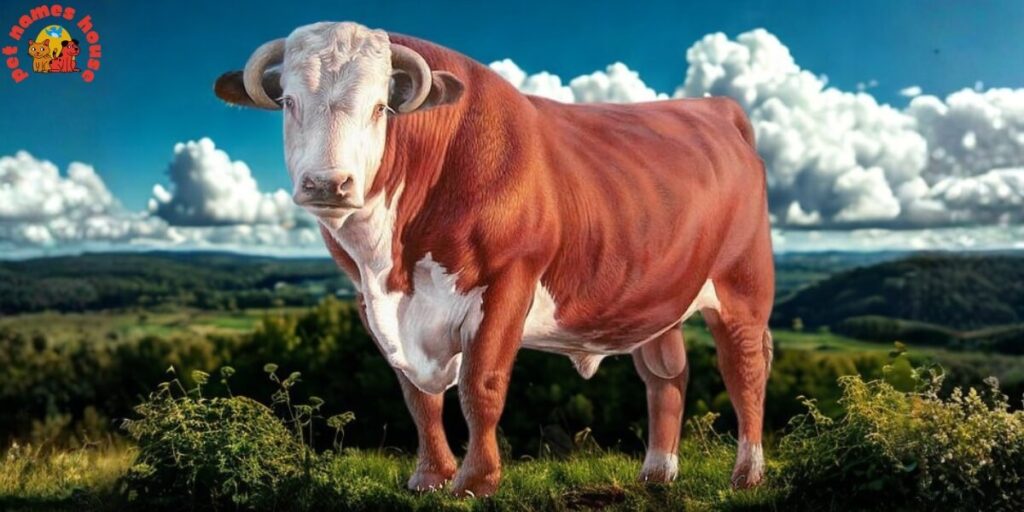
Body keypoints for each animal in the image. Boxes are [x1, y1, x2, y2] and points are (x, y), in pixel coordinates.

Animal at [214, 21, 774, 497]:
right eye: (289, 100)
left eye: (379, 108)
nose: (329, 183)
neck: (395, 265)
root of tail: (716, 108)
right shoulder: (370, 300)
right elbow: (417, 396)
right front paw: (430, 476)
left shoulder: (508, 281)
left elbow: (480, 384)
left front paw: (476, 481)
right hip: (659, 294)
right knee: (665, 375)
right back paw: (657, 472)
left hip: (743, 285)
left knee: (744, 368)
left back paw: (747, 474)